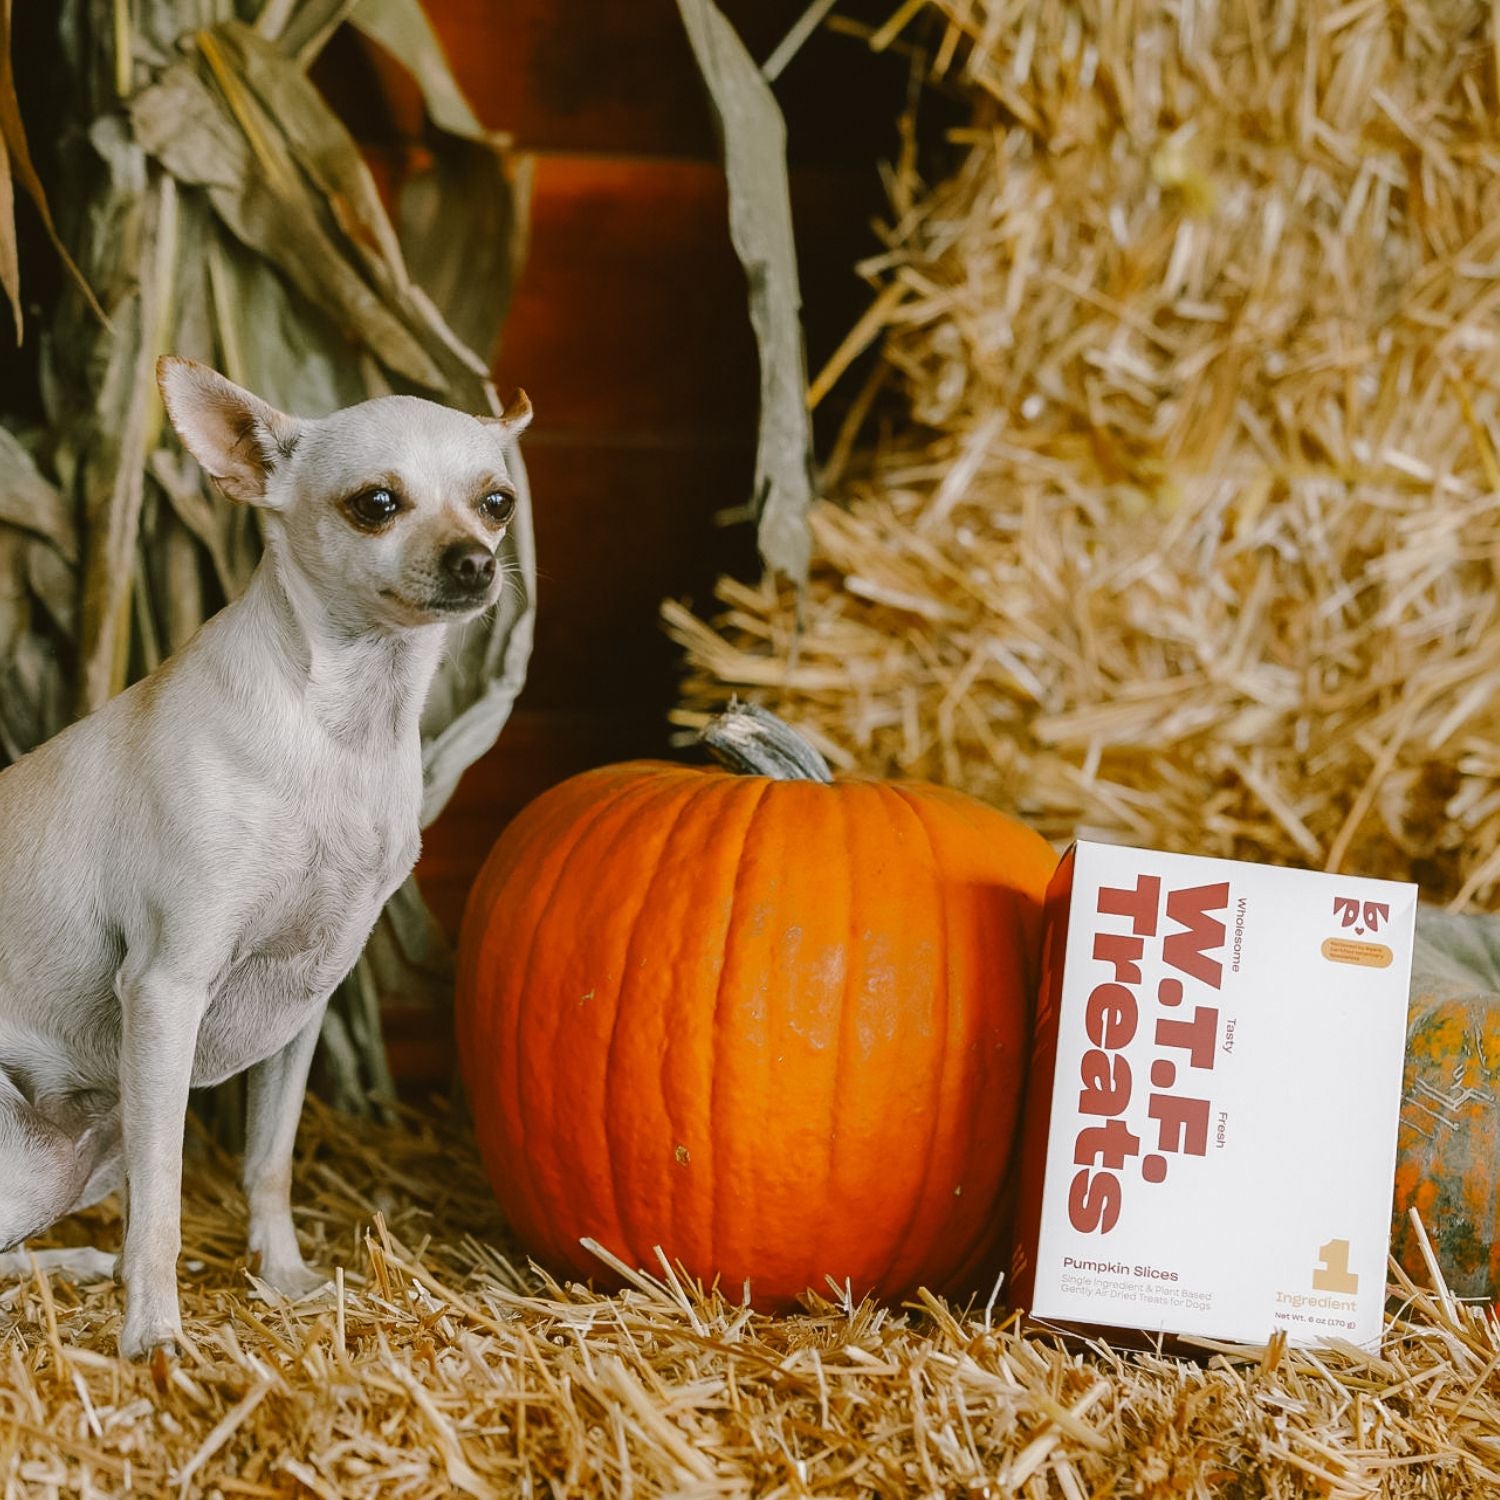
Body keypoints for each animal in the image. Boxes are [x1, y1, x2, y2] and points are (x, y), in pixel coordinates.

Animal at [0, 360, 531, 1362]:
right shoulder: (167, 990)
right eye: (376, 504)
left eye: (497, 503)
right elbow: (163, 1202)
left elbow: (268, 1161)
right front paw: (155, 1334)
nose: (476, 561)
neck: (343, 729)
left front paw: (280, 1276)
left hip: (78, 1154)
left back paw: (74, 1266)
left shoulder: (303, 1006)